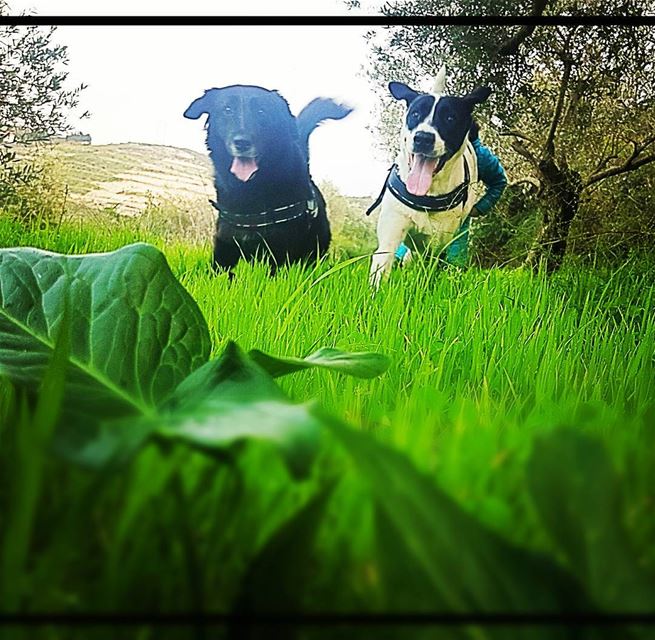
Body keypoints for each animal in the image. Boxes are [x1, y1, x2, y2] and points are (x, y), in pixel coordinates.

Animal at [183, 84, 354, 270]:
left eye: (261, 111)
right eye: (227, 110)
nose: (242, 142)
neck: (250, 190)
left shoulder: (279, 254)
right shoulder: (224, 249)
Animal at [368, 67, 492, 288]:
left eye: (450, 118)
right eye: (415, 114)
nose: (423, 138)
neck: (426, 194)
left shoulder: (438, 243)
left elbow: (428, 273)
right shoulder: (392, 227)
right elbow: (382, 264)